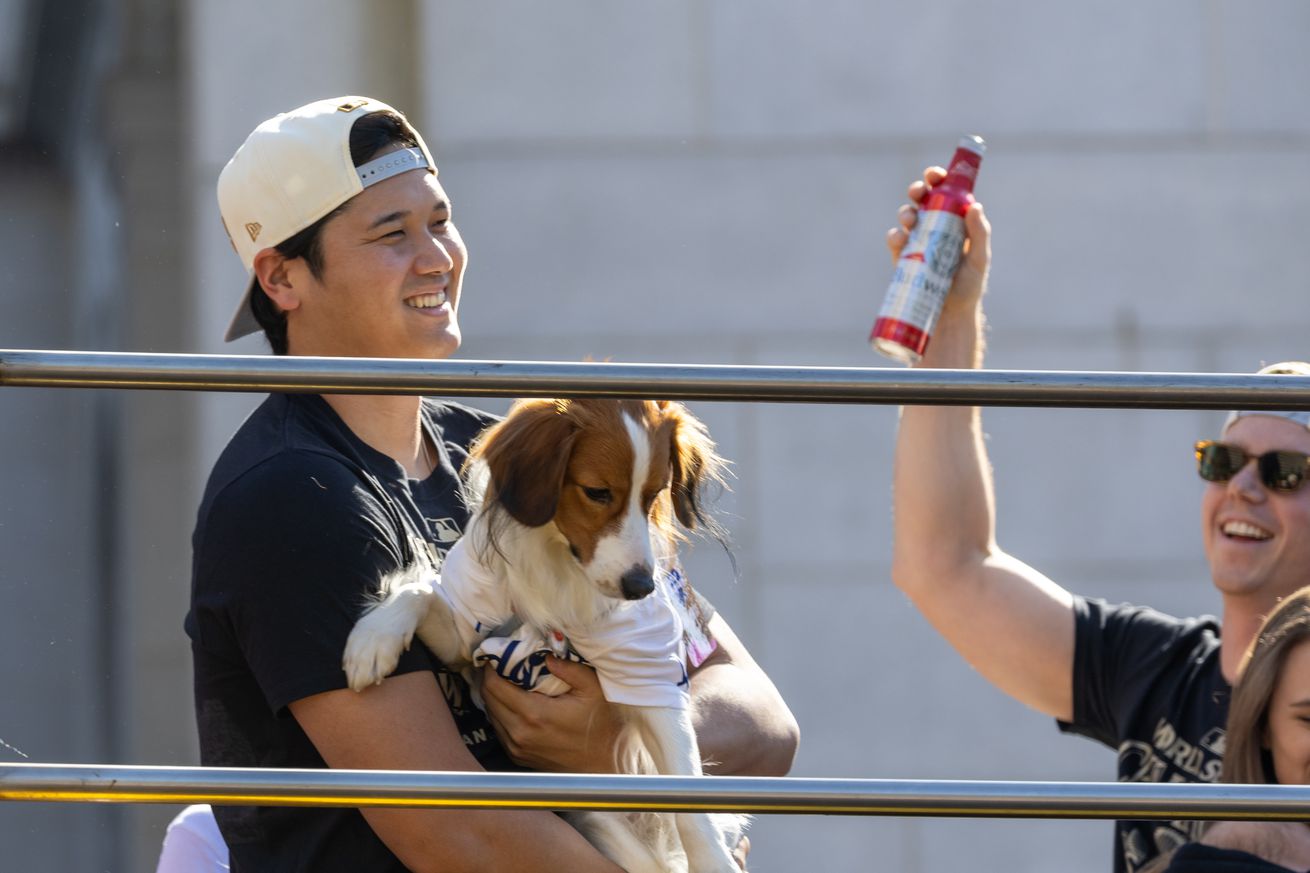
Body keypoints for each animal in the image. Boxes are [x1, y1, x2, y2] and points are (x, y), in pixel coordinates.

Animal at [343, 398, 744, 870]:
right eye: (597, 492)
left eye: (653, 496)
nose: (640, 587)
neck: (560, 564)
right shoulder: (464, 636)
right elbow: (418, 591)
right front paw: (373, 638)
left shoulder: (649, 675)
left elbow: (691, 803)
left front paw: (714, 861)